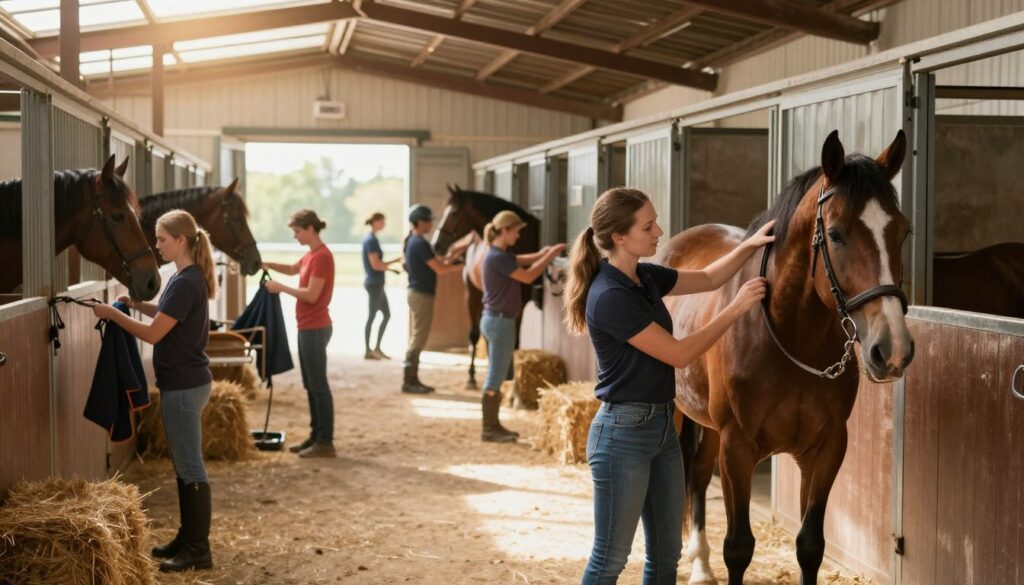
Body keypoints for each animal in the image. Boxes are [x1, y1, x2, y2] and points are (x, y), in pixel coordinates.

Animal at [430, 185, 541, 390]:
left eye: (454, 212)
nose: (436, 245)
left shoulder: (519, 305)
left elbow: (514, 342)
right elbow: (479, 335)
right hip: (475, 295)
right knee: (477, 334)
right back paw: (473, 376)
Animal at [659, 130, 915, 585]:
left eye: (902, 231)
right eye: (836, 234)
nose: (893, 349)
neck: (790, 337)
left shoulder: (827, 448)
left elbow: (810, 545)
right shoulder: (737, 450)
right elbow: (739, 548)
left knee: (698, 475)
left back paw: (701, 566)